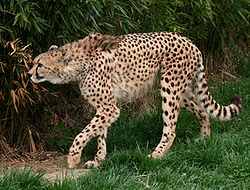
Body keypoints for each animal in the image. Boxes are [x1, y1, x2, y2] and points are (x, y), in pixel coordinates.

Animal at [28, 31, 241, 169]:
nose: (29, 74)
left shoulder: (108, 107)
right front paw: (98, 160)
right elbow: (99, 133)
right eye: (34, 63)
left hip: (169, 88)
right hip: (181, 90)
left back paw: (156, 155)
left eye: (40, 64)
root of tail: (190, 41)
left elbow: (84, 133)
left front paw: (73, 158)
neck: (75, 65)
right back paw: (204, 139)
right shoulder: (104, 106)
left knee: (171, 128)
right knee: (202, 110)